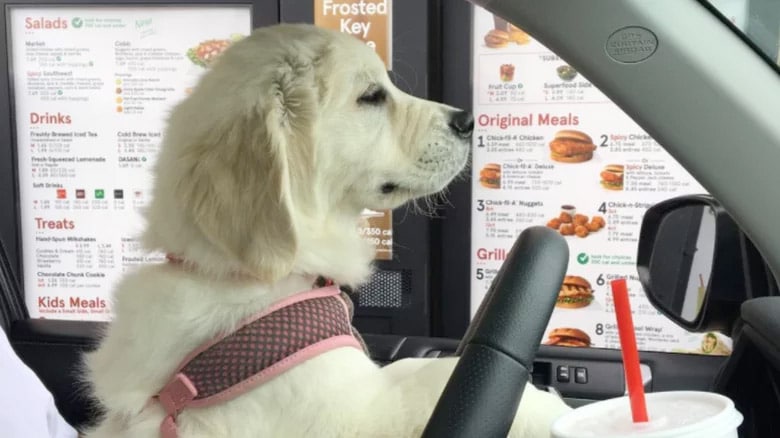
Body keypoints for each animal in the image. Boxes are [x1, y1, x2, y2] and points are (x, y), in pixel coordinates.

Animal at [80, 24, 568, 438]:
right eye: (371, 96)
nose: (468, 121)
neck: (245, 277)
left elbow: (412, 367)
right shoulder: (355, 416)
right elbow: (431, 381)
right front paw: (548, 405)